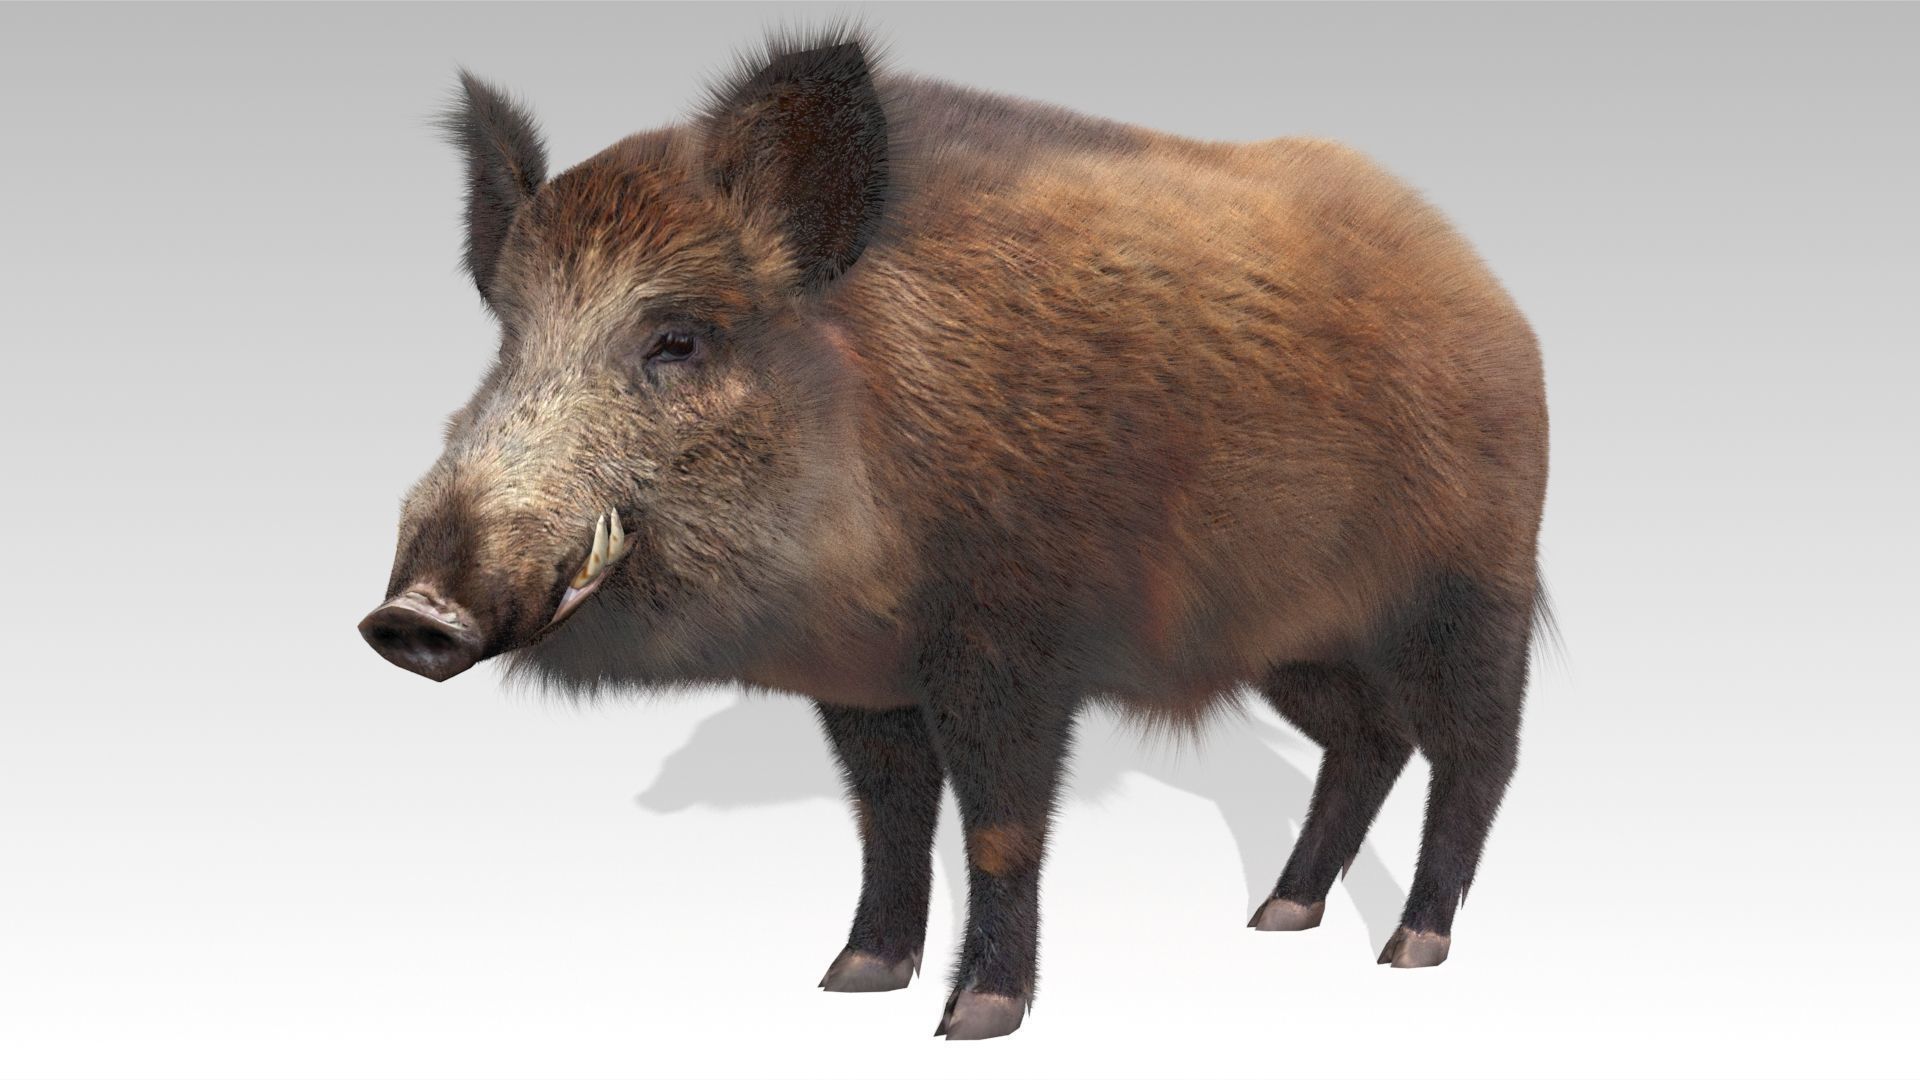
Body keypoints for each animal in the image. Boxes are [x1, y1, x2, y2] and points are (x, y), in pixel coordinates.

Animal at [358, 30, 1550, 1040]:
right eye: (509, 341)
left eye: (678, 340)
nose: (407, 614)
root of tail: (1490, 293)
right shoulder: (863, 681)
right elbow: (886, 819)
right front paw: (851, 979)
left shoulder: (1013, 648)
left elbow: (999, 824)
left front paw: (975, 1018)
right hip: (1296, 645)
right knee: (1369, 738)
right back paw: (1277, 915)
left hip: (1471, 594)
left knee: (1479, 752)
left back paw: (1412, 948)